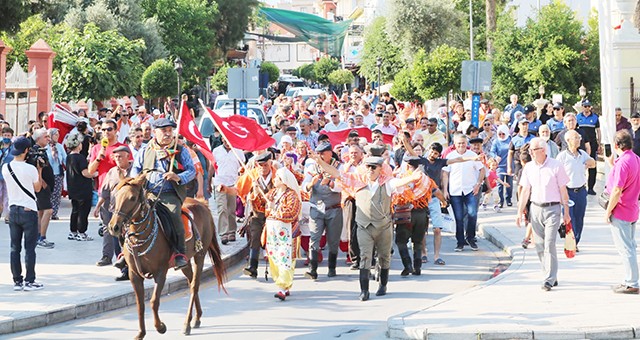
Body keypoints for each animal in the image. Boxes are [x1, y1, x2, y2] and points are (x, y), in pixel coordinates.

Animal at [110, 175, 228, 340]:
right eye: (115, 196)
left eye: (132, 198)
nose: (113, 227)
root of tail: (202, 204)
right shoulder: (134, 274)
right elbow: (140, 304)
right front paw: (141, 333)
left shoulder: (161, 272)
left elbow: (154, 301)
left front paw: (160, 327)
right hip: (185, 262)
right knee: (190, 281)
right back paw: (196, 318)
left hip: (200, 255)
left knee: (194, 285)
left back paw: (186, 324)